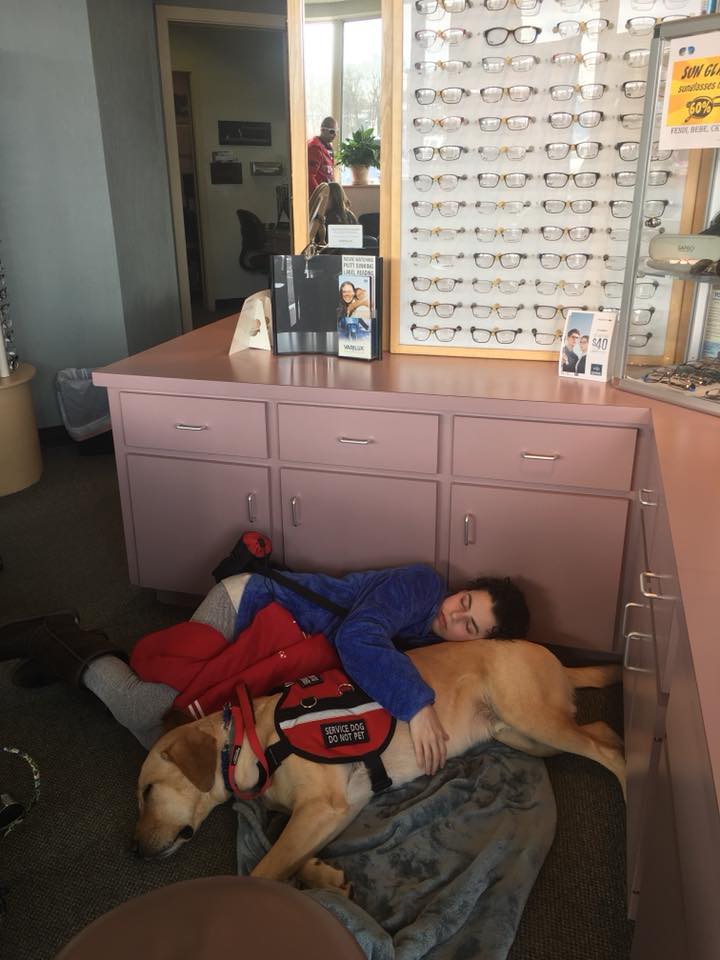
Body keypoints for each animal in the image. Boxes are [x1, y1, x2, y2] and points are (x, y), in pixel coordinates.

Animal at [135, 636, 624, 892]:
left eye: (146, 792)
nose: (133, 851)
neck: (253, 741)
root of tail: (551, 653)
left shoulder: (323, 805)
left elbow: (268, 867)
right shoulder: (339, 808)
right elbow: (288, 851)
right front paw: (322, 875)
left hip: (532, 719)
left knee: (611, 754)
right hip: (523, 735)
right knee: (602, 729)